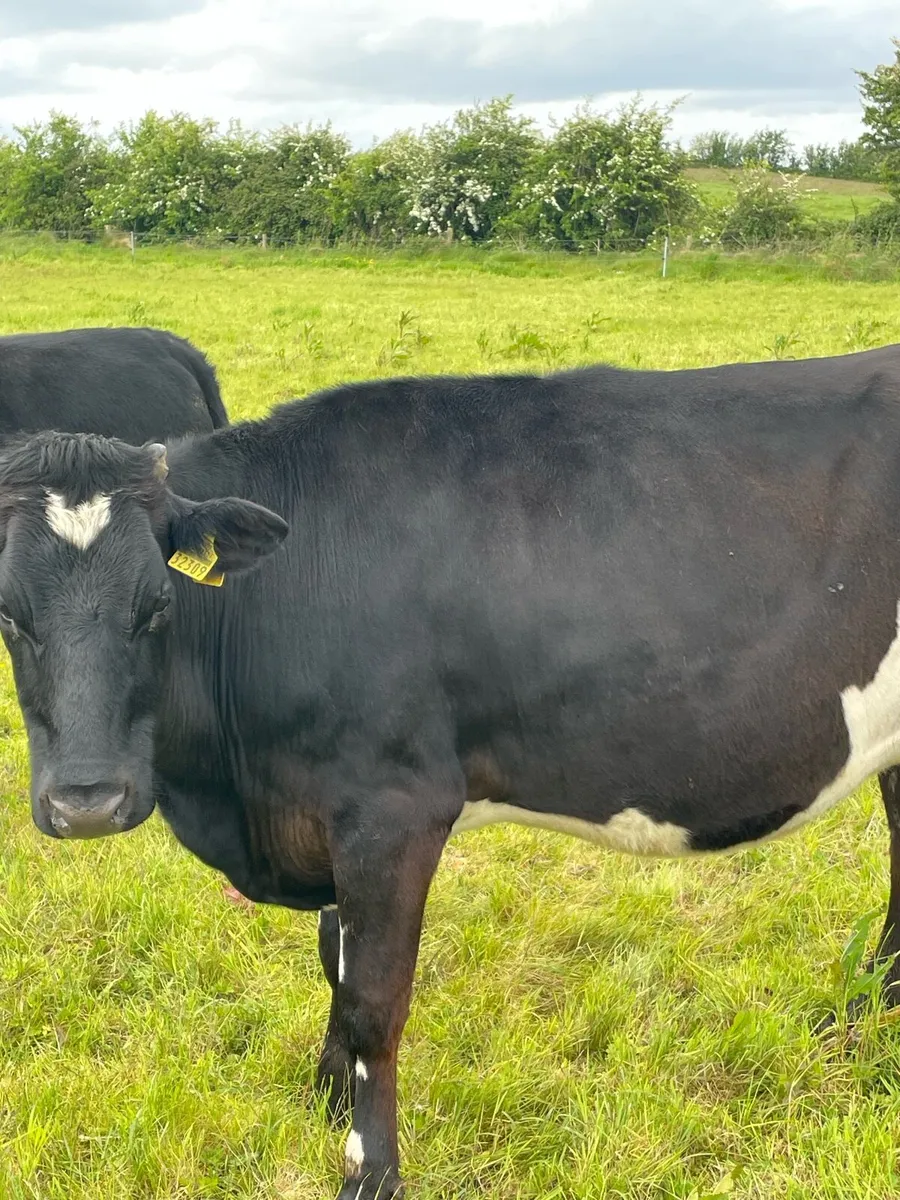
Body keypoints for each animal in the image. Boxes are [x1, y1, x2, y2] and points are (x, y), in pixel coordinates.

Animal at [2, 345, 900, 1198]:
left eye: (157, 603)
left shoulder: (392, 807)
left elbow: (373, 999)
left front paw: (369, 1171)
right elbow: (334, 957)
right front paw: (327, 1093)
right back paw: (863, 1025)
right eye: (8, 612)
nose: (88, 800)